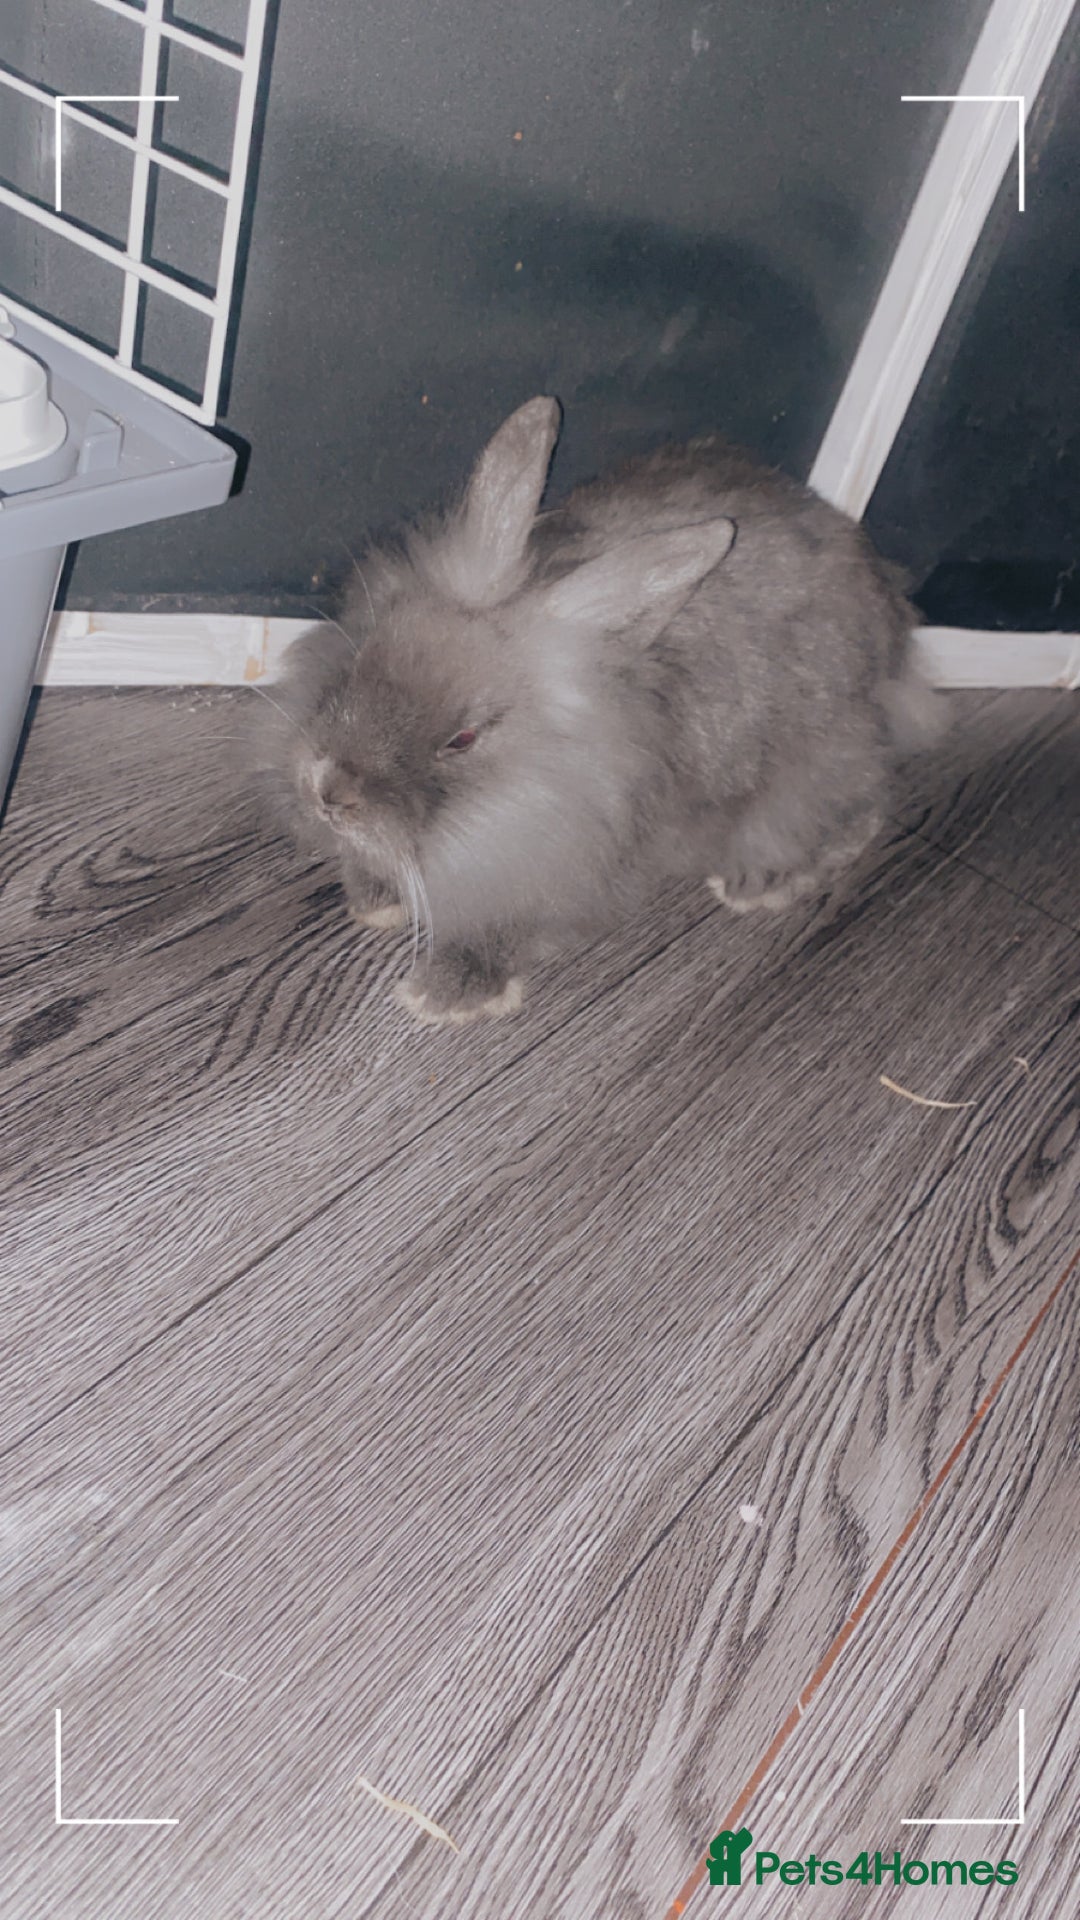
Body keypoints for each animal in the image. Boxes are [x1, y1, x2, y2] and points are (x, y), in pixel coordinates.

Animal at [256, 396, 946, 1028]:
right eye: (365, 656)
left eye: (463, 738)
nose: (327, 790)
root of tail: (890, 619)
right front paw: (375, 899)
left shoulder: (565, 872)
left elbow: (510, 926)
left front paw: (446, 994)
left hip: (818, 762)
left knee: (858, 811)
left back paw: (758, 884)